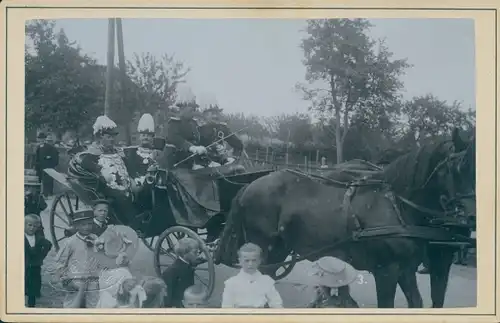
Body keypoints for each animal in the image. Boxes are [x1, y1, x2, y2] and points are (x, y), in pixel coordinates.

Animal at [213, 129, 474, 308]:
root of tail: (249, 186)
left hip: (278, 249)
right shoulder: (386, 271)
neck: (396, 205)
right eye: (457, 168)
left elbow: (416, 303)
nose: (470, 217)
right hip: (263, 247)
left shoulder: (406, 270)